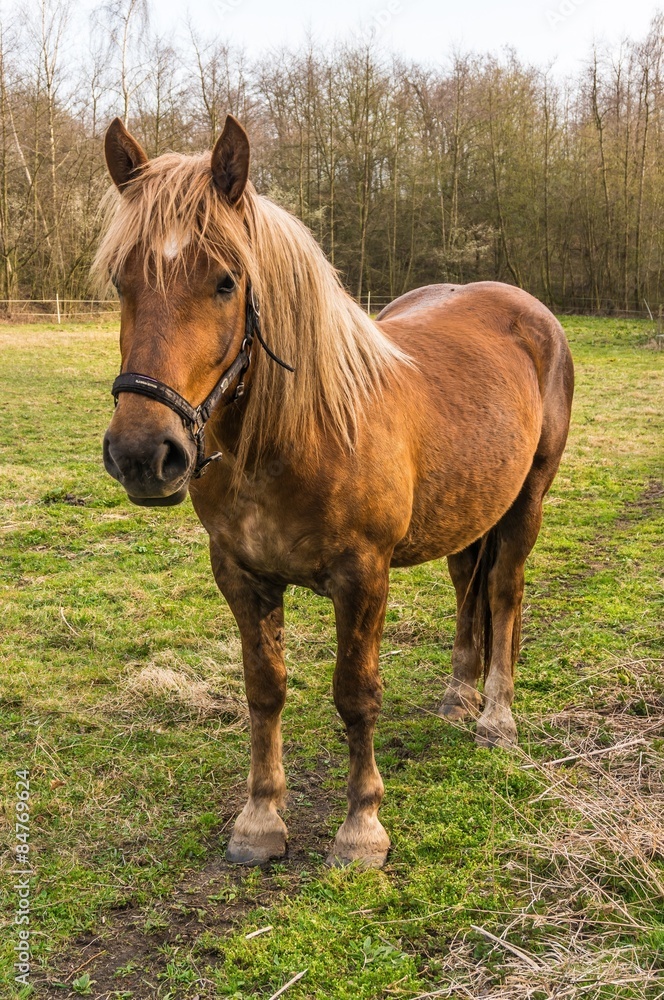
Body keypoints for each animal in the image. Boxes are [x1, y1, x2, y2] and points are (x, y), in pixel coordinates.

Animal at [96, 115, 574, 869]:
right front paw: (260, 820)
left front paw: (361, 829)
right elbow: (265, 690)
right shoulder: (241, 575)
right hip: (468, 510)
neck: (294, 437)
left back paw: (497, 718)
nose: (144, 455)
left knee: (503, 592)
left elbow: (356, 696)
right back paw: (458, 696)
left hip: (526, 500)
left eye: (226, 282)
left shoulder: (363, 576)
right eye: (123, 279)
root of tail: (529, 311)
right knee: (467, 586)